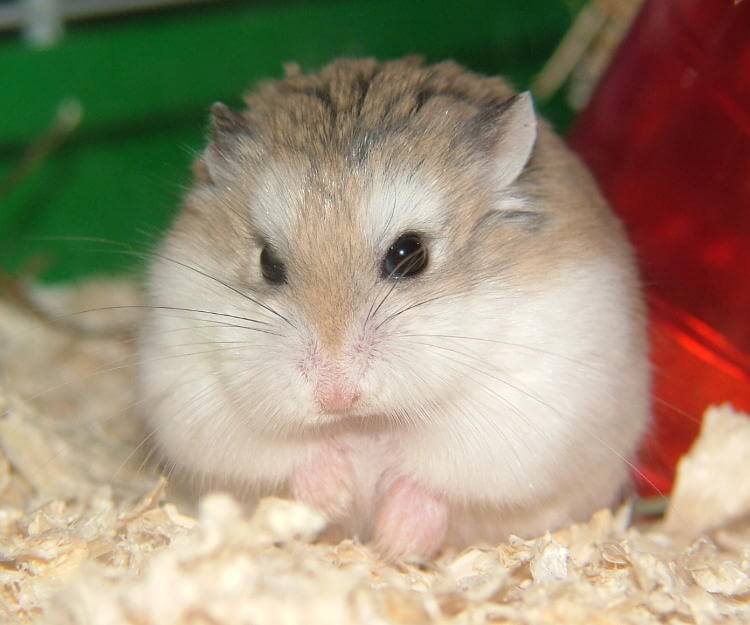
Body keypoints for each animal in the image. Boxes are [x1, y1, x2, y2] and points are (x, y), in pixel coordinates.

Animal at [137, 57, 650, 560]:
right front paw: (333, 498)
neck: (366, 424)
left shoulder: (522, 410)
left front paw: (394, 540)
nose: (335, 397)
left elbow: (434, 483)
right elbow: (291, 458)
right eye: (267, 262)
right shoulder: (195, 395)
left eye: (410, 254)